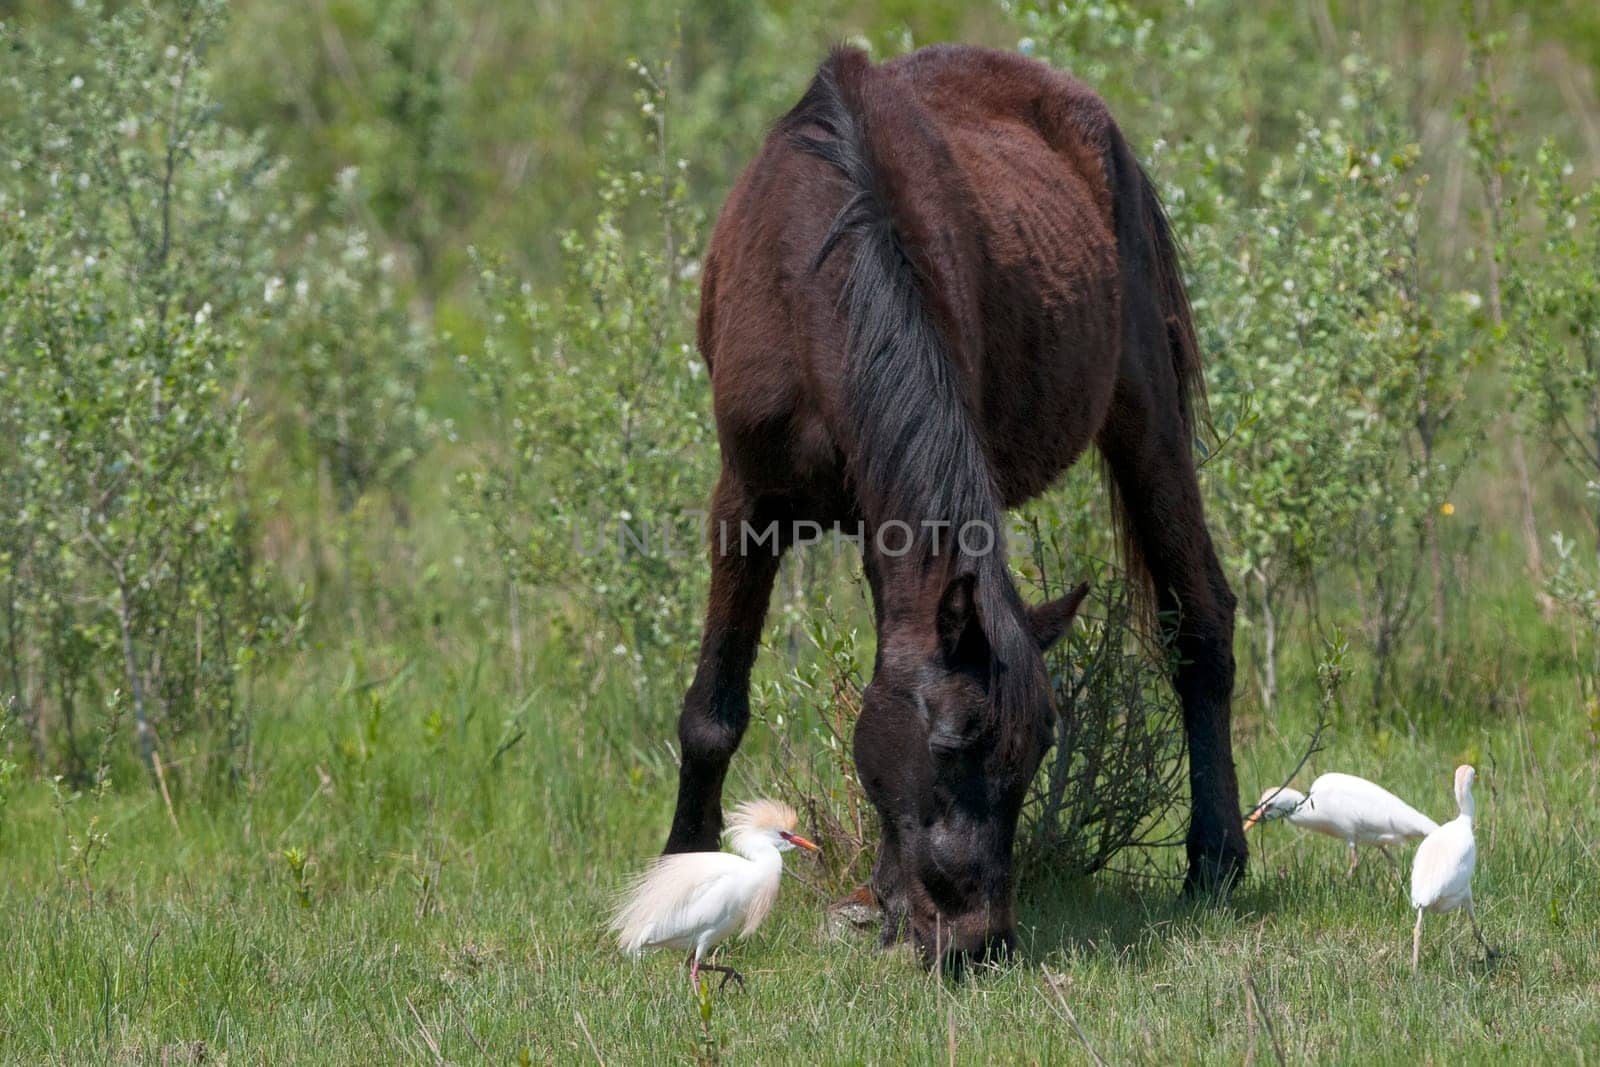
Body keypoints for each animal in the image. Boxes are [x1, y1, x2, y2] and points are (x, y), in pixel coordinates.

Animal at [662, 45, 1248, 972]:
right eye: (949, 743)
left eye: (1038, 749)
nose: (978, 941)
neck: (819, 268)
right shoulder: (749, 503)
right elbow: (714, 712)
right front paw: (683, 869)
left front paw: (888, 900)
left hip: (1145, 416)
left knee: (1199, 620)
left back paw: (1217, 857)